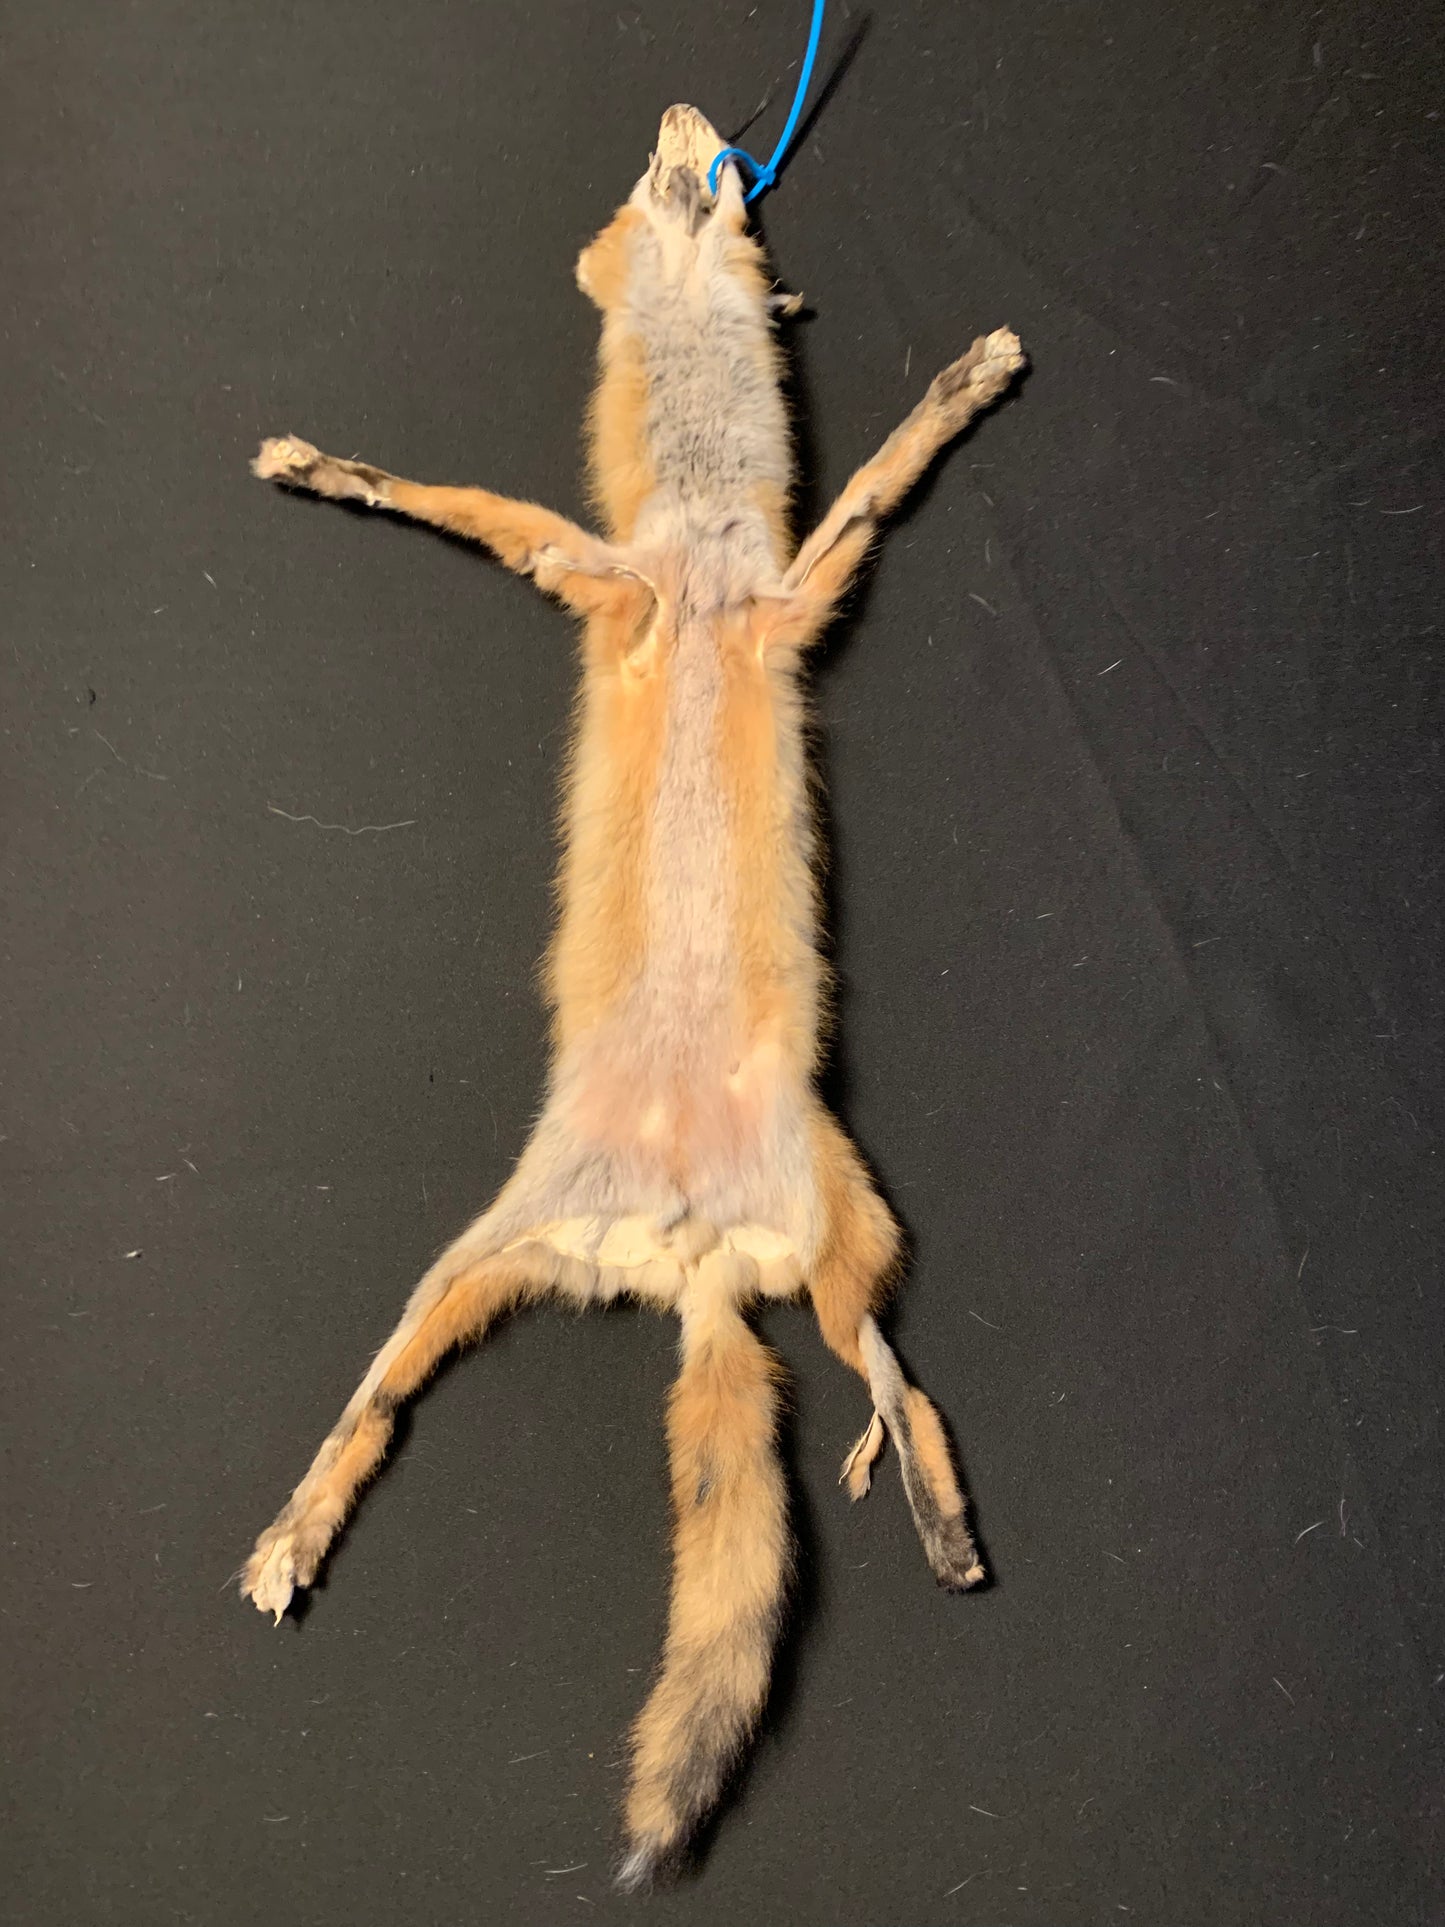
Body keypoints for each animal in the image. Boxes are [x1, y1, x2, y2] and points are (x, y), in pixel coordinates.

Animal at [240, 102, 1025, 1886]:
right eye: (652, 181)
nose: (688, 113)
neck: (704, 564)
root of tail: (684, 1253)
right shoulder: (601, 574)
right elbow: (463, 499)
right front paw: (327, 470)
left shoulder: (781, 590)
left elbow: (881, 470)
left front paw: (963, 378)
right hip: (489, 1267)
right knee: (375, 1410)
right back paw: (292, 1528)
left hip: (842, 1234)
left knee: (893, 1378)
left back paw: (942, 1517)